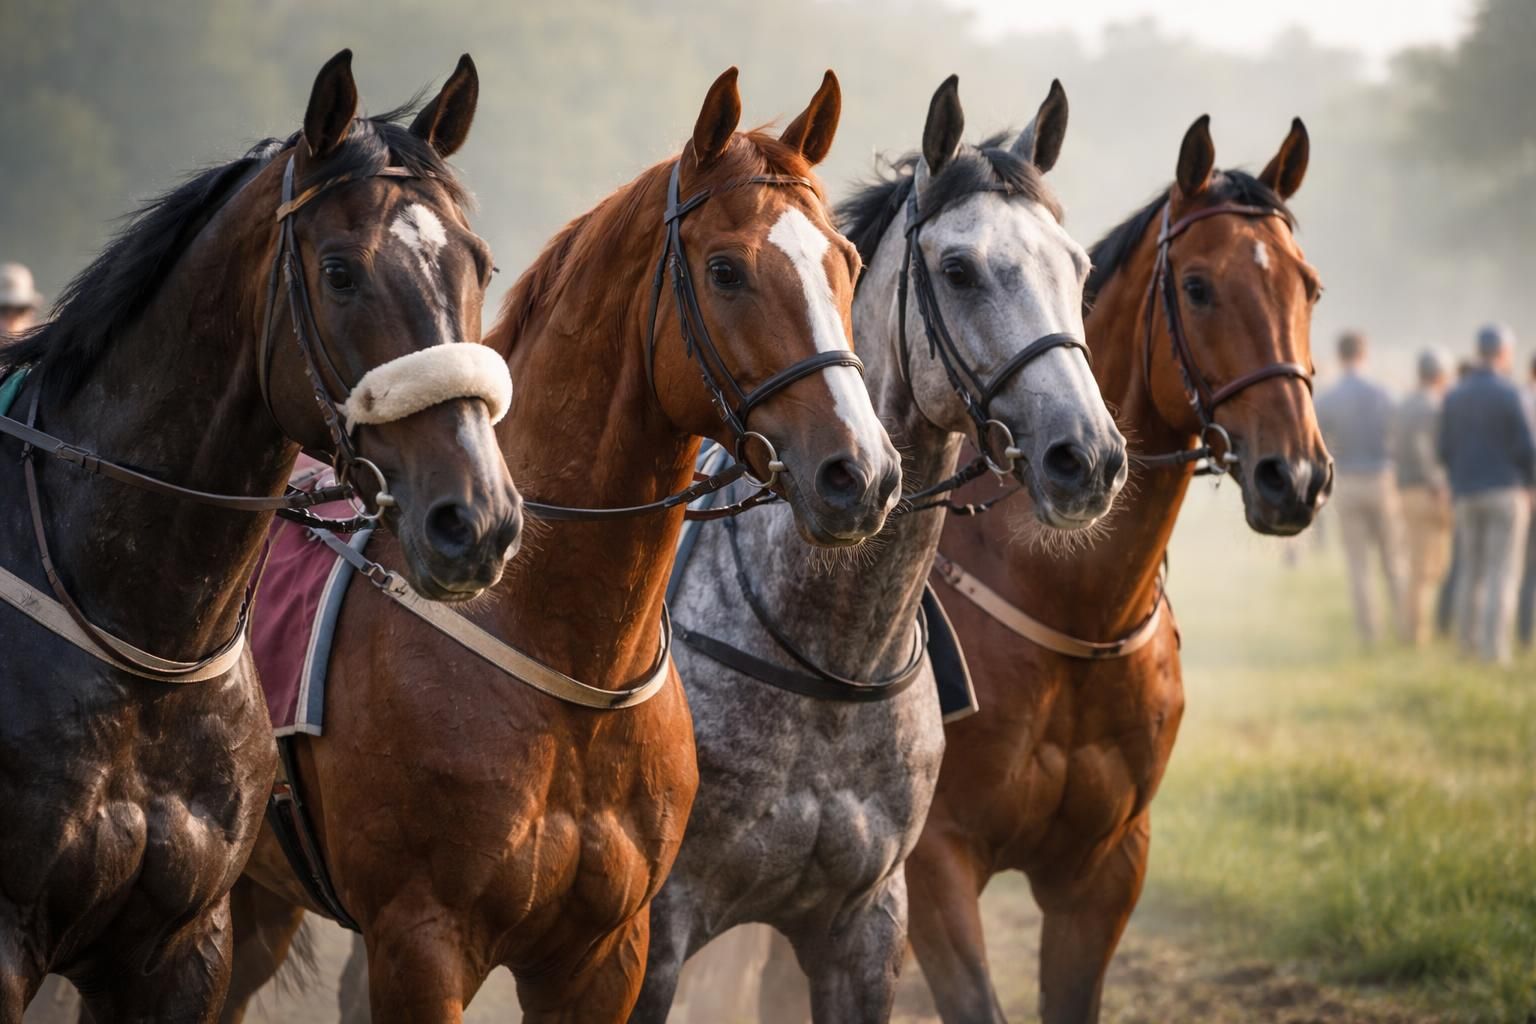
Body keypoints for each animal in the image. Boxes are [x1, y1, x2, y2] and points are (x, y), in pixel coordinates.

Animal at [218, 67, 902, 1024]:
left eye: (846, 262)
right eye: (726, 269)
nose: (861, 473)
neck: (566, 655)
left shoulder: (603, 953)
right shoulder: (421, 945)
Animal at [632, 75, 1128, 1024]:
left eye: (1078, 268)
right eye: (959, 268)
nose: (1086, 456)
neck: (827, 657)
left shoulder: (865, 923)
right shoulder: (659, 929)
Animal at [904, 115, 1331, 1023]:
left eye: (1308, 288)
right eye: (1198, 287)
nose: (1297, 476)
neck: (1070, 606)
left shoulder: (1106, 865)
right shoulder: (932, 861)